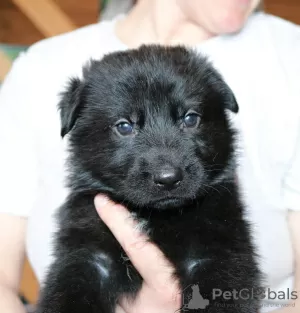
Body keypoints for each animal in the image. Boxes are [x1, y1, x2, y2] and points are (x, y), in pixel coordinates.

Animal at [37, 45, 262, 310]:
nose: (168, 178)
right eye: (124, 126)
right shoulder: (86, 255)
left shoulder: (219, 253)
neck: (154, 216)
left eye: (190, 118)